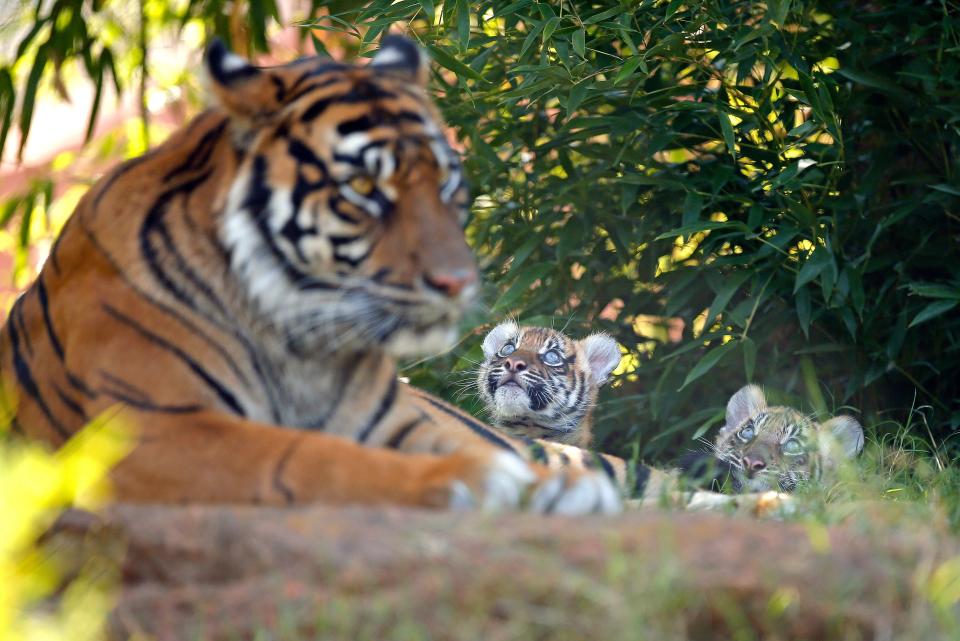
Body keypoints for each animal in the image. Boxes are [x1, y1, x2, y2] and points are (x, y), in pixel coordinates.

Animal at [0, 36, 620, 516]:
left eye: (447, 182)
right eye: (364, 187)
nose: (457, 283)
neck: (300, 337)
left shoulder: (398, 420)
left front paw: (554, 483)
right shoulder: (146, 431)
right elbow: (309, 457)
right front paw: (474, 480)